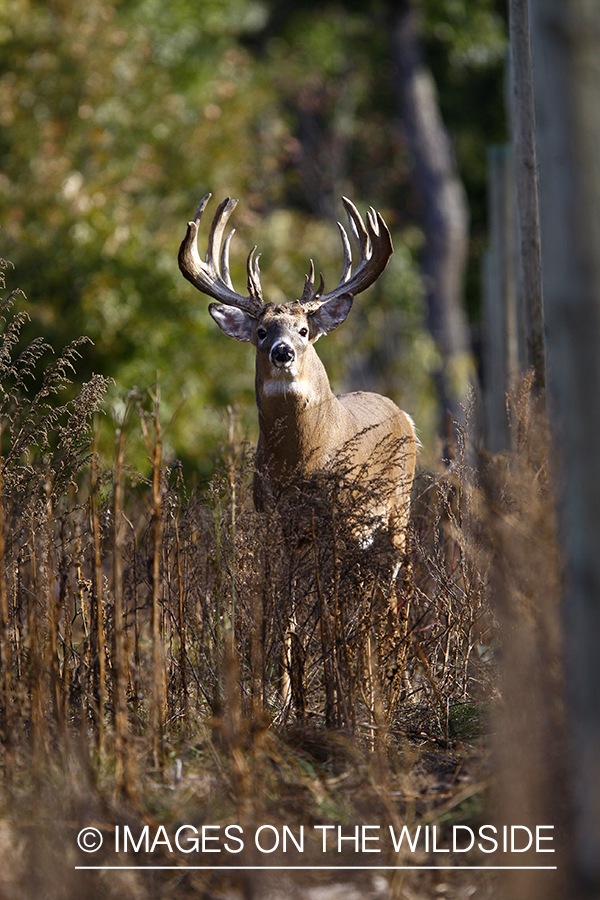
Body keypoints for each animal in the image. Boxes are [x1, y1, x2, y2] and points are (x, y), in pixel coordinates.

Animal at [178, 195, 418, 576]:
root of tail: (404, 416)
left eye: (303, 330)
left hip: (399, 501)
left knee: (399, 569)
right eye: (262, 332)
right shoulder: (275, 517)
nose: (283, 351)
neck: (301, 463)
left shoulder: (345, 517)